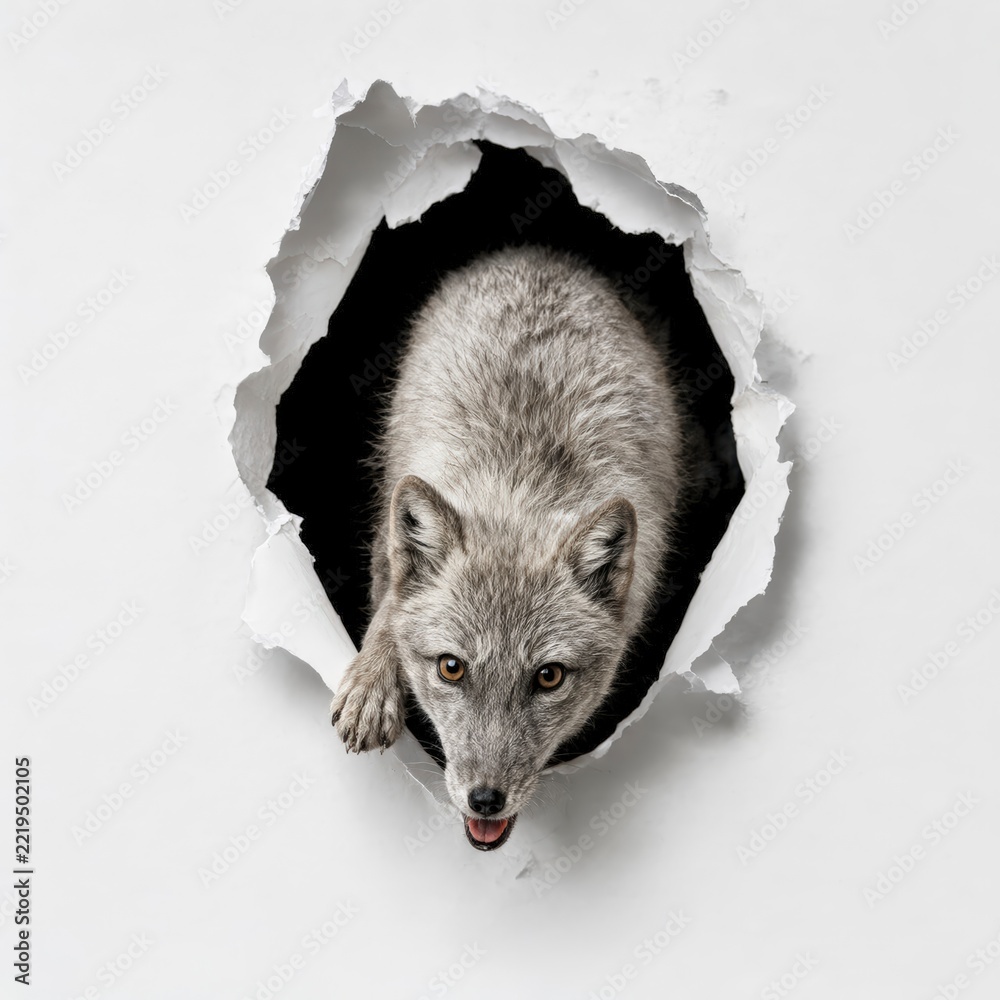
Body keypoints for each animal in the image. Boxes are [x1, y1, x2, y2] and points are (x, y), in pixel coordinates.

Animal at [330, 244, 687, 850]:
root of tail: (537, 252)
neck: (518, 484)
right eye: (451, 668)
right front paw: (371, 684)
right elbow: (392, 608)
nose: (485, 801)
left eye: (549, 676)